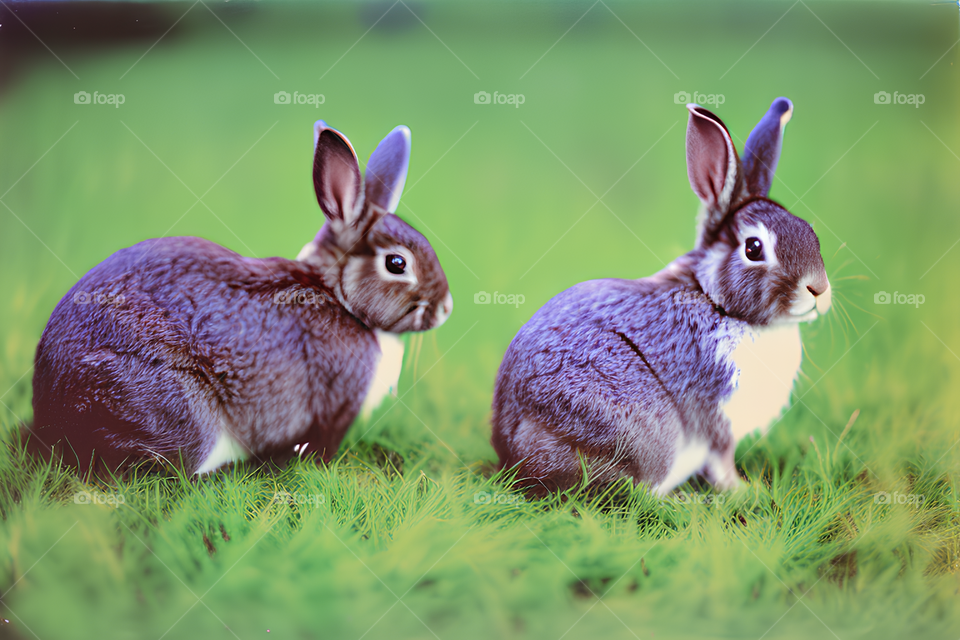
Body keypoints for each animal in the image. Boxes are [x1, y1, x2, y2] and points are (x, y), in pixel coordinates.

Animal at [28, 121, 453, 478]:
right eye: (397, 263)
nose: (447, 308)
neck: (338, 295)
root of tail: (50, 408)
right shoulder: (337, 405)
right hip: (178, 410)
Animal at [491, 98, 831, 498]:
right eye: (753, 248)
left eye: (810, 231)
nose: (819, 289)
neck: (718, 303)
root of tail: (510, 450)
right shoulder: (717, 416)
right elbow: (721, 462)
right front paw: (744, 491)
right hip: (641, 434)